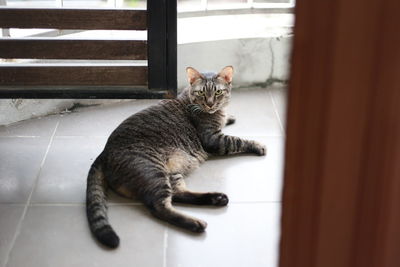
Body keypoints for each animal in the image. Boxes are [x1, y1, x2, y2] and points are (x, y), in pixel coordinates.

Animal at [86, 66, 266, 249]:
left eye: (218, 92)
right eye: (202, 93)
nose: (210, 103)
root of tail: (104, 152)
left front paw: (228, 117)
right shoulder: (214, 139)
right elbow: (237, 141)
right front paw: (257, 145)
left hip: (173, 171)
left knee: (178, 194)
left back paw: (216, 198)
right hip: (153, 171)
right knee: (160, 207)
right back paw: (196, 223)